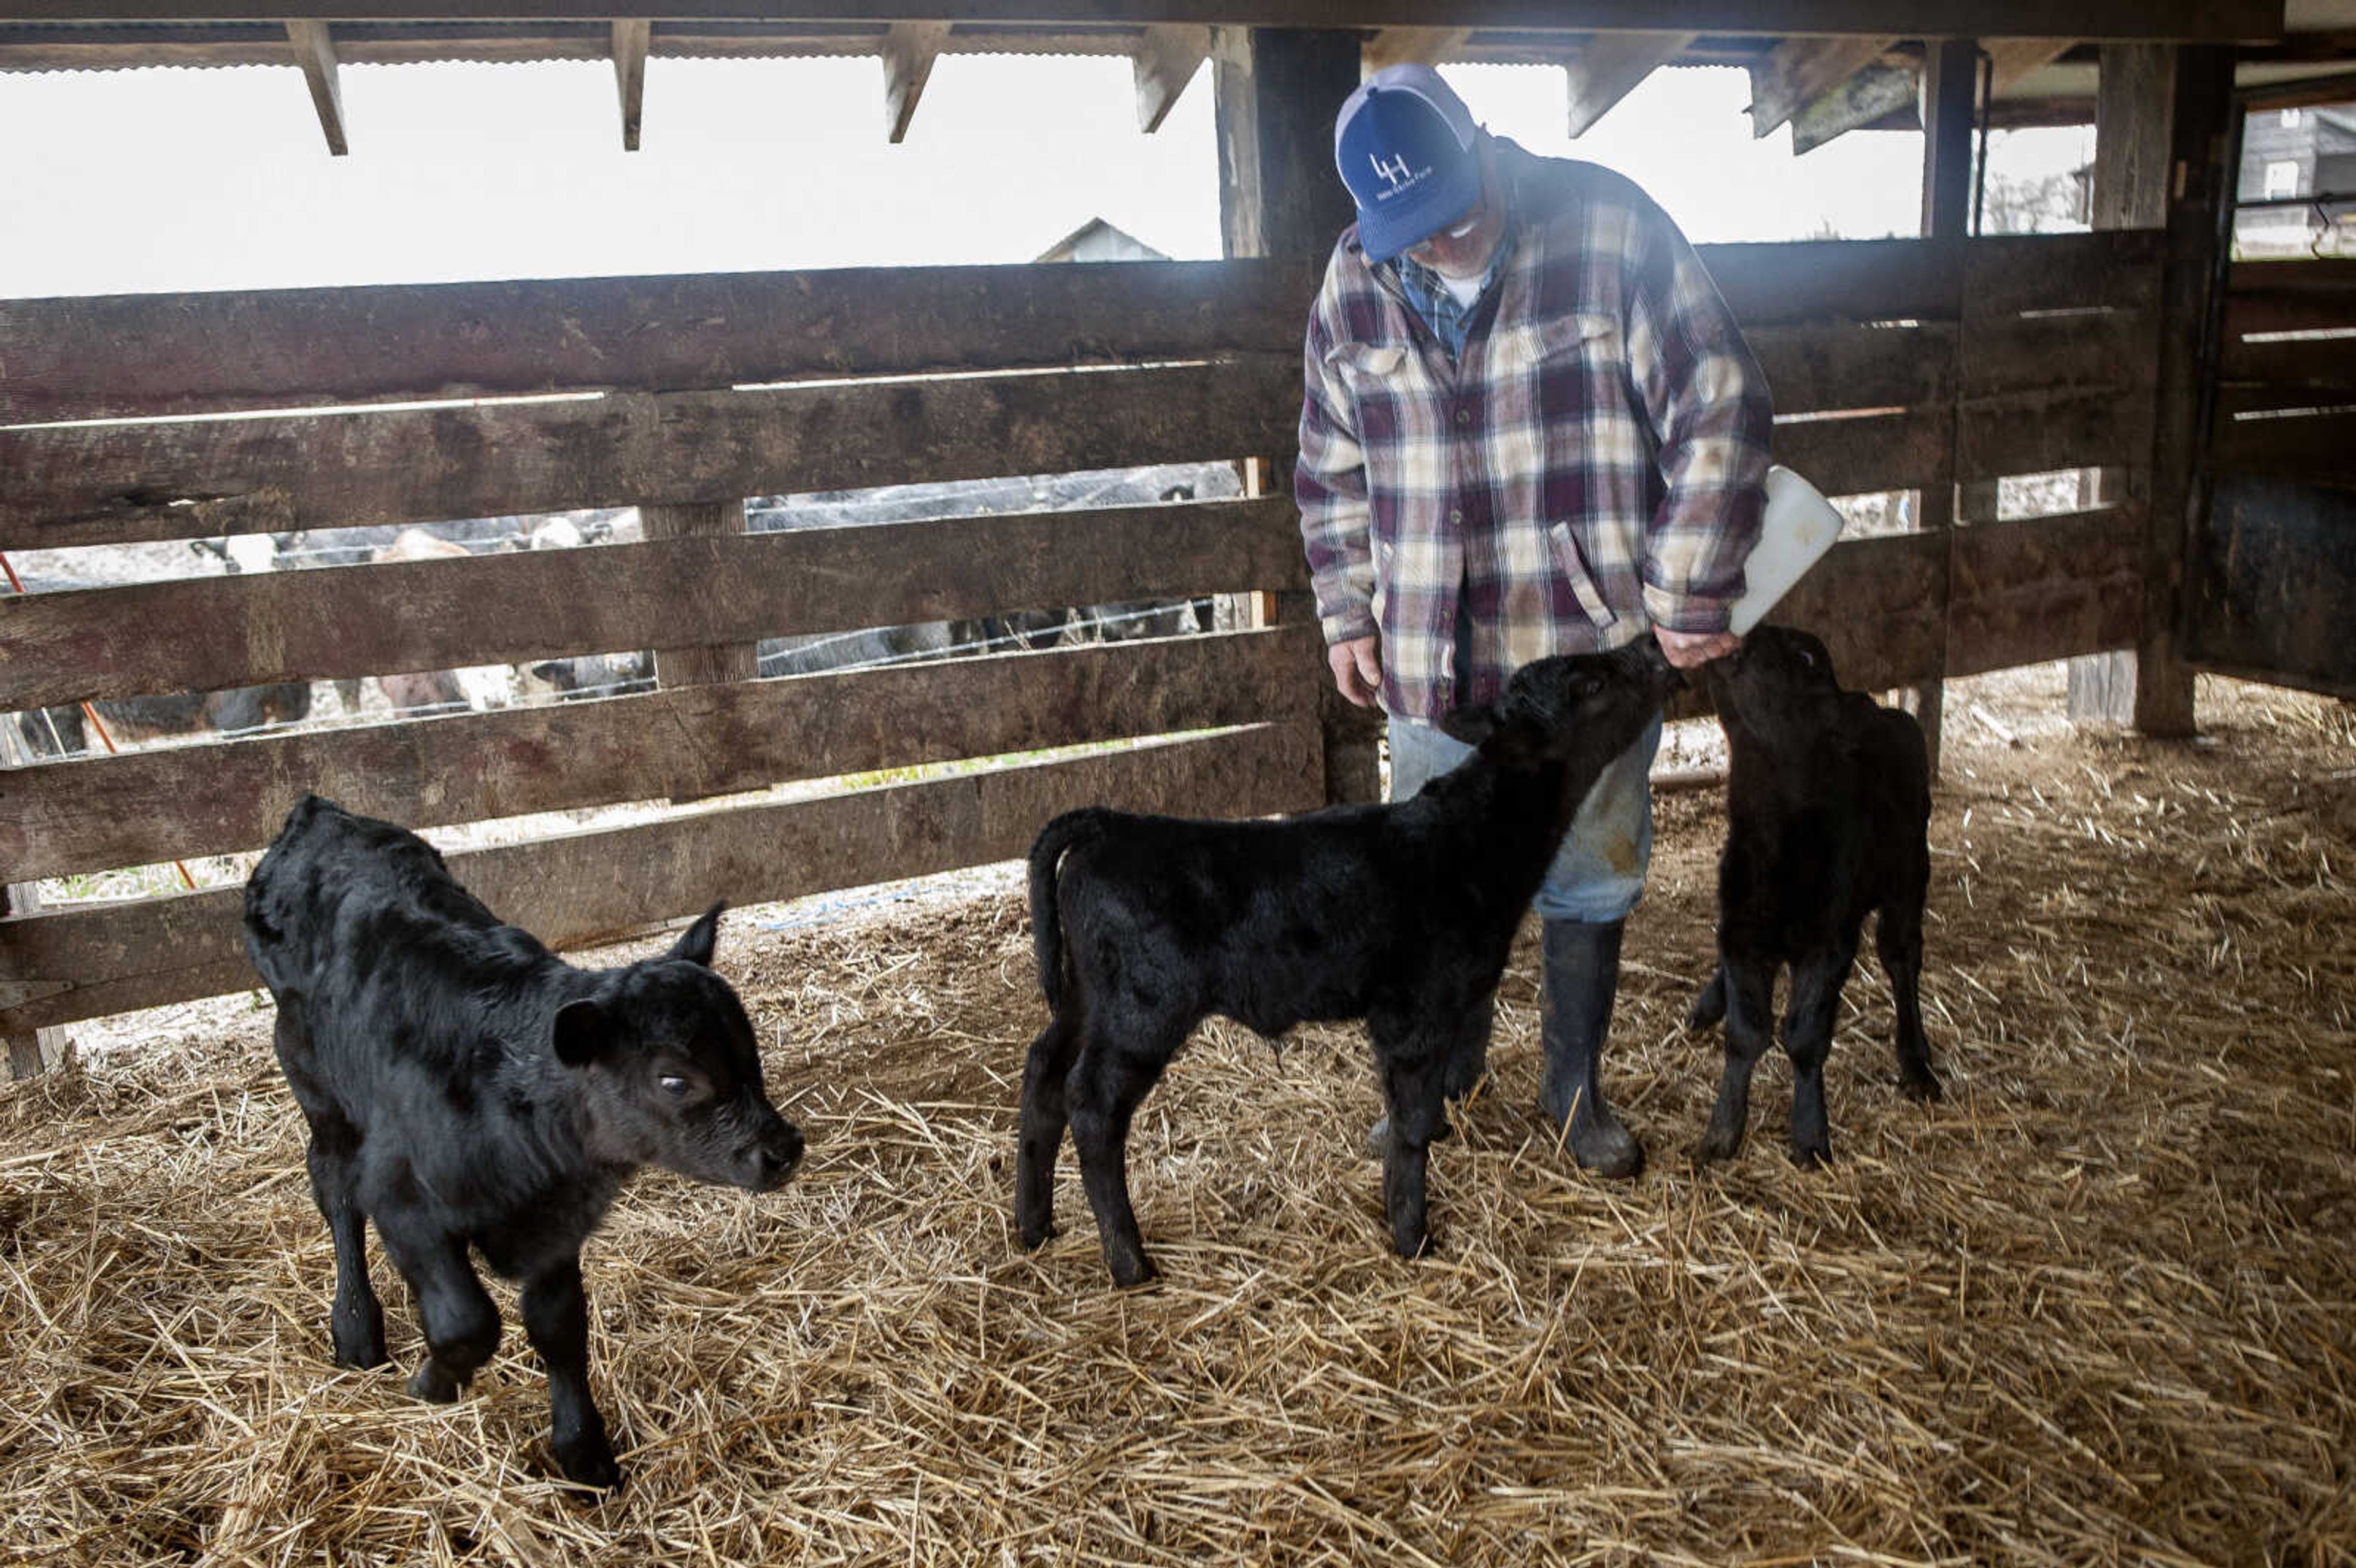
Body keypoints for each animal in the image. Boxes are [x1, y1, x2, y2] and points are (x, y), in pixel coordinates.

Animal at [241, 800, 801, 1488]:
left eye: (750, 1052)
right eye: (674, 1079)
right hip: (311, 1075)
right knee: (334, 1188)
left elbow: (560, 1326)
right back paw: (355, 1329)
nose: (783, 1149)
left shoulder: (552, 1221)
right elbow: (467, 1322)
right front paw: (433, 1384)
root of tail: (318, 813)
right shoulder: (403, 1198)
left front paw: (584, 1455)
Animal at [1017, 640, 1677, 1280]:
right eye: (1589, 684)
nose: (1654, 648)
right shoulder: (1414, 1012)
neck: (1469, 842)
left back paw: (1033, 1225)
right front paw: (1413, 1237)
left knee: (1044, 1067)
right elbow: (1410, 1123)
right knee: (1091, 1105)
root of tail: (1110, 826)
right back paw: (1129, 1262)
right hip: (1144, 1006)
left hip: (1089, 994)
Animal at [1696, 621, 1931, 1158]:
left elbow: (1804, 1037)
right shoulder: (1739, 930)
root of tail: (1881, 710)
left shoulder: (1829, 942)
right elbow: (1746, 1033)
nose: (1746, 630)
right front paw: (1722, 1131)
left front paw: (1809, 1134)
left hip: (1910, 876)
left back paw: (1917, 1061)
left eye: (1806, 658)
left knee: (1902, 957)